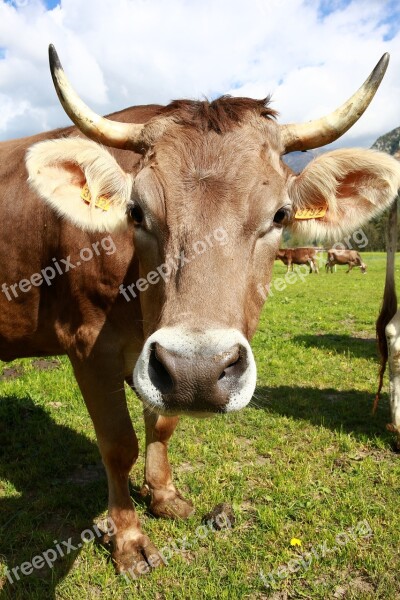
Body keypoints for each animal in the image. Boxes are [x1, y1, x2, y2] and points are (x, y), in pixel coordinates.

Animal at [2, 44, 400, 576]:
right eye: (134, 212)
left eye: (280, 214)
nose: (197, 371)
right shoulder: (86, 346)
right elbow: (118, 445)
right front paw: (128, 539)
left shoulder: (149, 361)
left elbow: (162, 423)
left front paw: (164, 495)